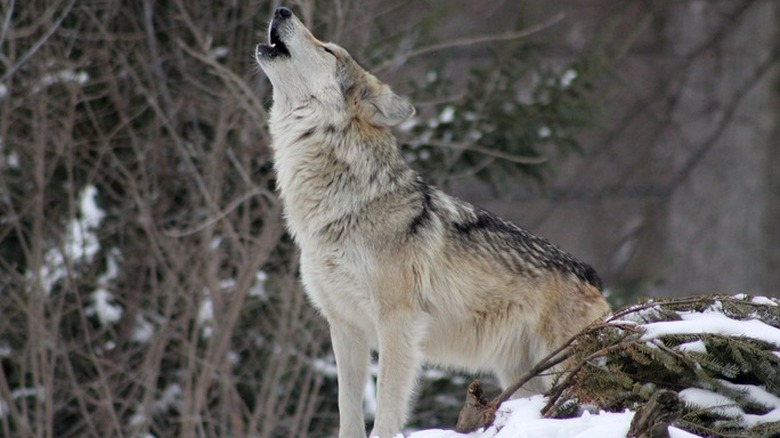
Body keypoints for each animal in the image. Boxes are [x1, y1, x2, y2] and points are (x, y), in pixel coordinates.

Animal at [256, 7, 610, 438]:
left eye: (328, 49)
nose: (281, 9)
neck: (341, 206)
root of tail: (591, 275)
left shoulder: (398, 323)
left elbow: (386, 409)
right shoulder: (344, 327)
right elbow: (348, 411)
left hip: (560, 369)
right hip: (522, 376)